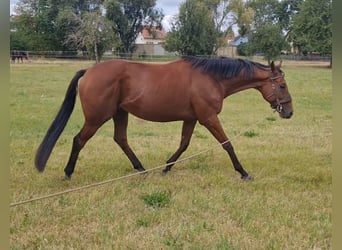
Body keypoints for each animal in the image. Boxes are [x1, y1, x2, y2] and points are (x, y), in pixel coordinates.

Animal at [34, 56, 292, 181]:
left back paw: (142, 170)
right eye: (281, 85)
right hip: (97, 118)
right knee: (79, 140)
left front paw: (167, 167)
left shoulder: (192, 118)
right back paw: (68, 173)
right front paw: (243, 173)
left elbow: (184, 144)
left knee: (121, 140)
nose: (289, 112)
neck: (212, 78)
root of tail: (89, 71)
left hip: (120, 113)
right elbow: (227, 144)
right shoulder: (208, 117)